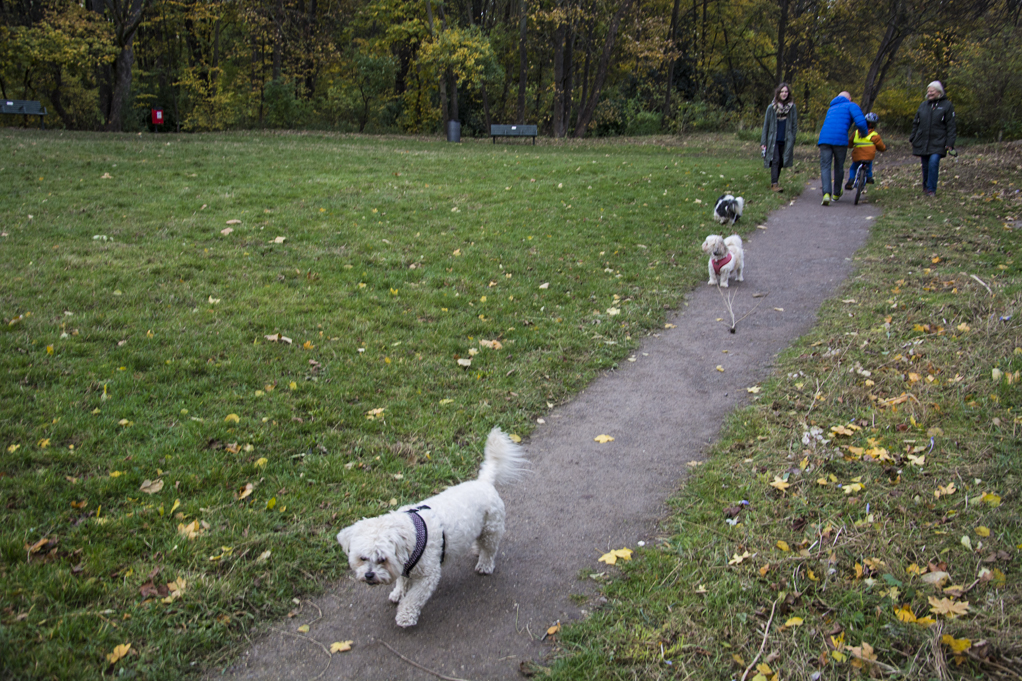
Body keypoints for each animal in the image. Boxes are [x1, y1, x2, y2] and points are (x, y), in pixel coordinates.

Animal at [337, 427, 527, 621]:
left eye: (382, 559)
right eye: (362, 558)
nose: (369, 575)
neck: (413, 533)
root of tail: (483, 482)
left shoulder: (428, 575)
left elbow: (414, 597)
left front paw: (405, 616)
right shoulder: (403, 566)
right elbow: (402, 580)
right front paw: (398, 593)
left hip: (491, 529)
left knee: (489, 550)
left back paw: (484, 565)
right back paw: (476, 549)